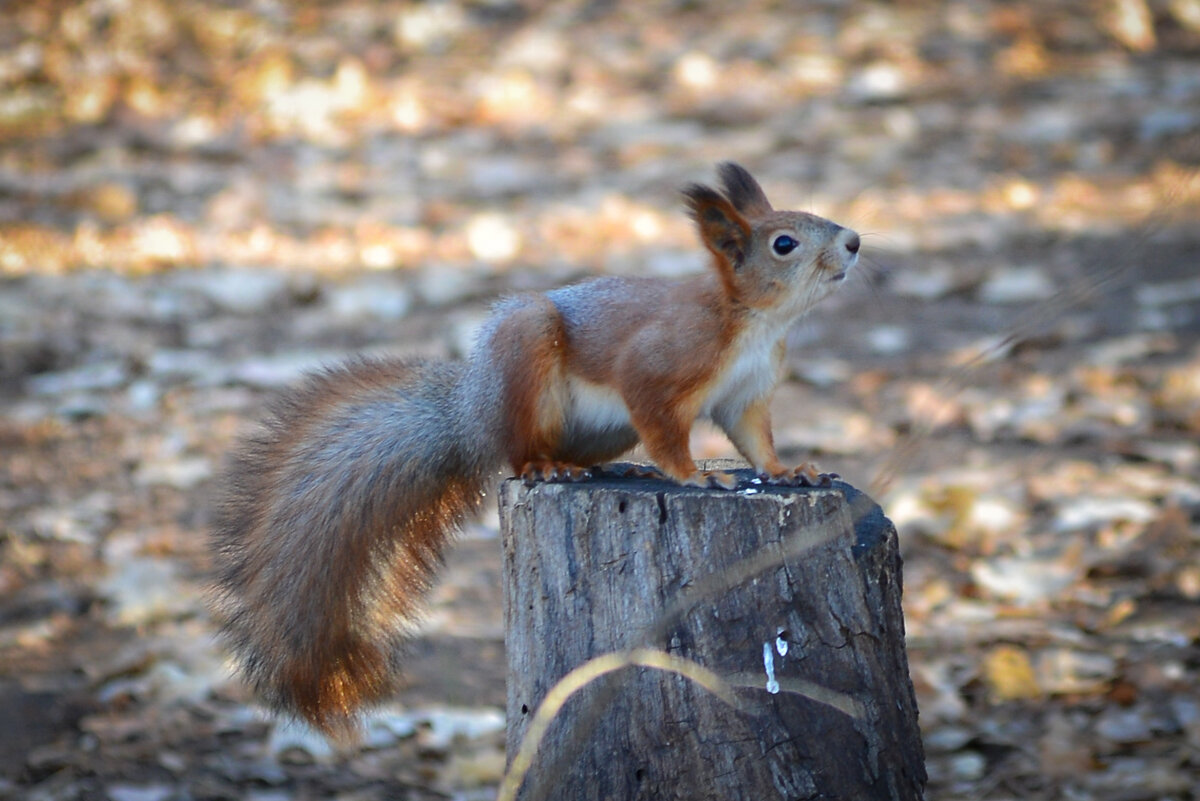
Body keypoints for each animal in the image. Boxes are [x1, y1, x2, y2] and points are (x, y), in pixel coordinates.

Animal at [208, 160, 864, 738]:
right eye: (784, 243)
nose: (855, 240)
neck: (754, 320)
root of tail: (471, 416)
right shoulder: (656, 368)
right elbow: (662, 425)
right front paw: (691, 476)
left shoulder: (745, 395)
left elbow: (756, 442)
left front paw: (790, 471)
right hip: (527, 352)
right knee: (518, 454)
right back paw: (548, 466)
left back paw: (601, 467)